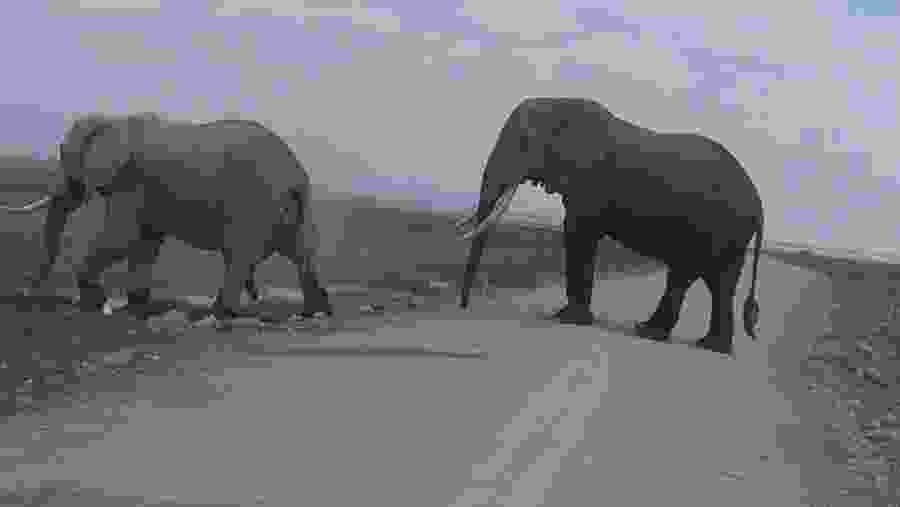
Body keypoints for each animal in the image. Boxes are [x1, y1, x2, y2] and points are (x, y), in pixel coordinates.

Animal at [2, 112, 333, 320]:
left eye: (62, 153)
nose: (26, 293)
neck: (113, 119)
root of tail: (294, 172)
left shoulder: (130, 183)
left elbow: (121, 238)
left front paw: (95, 303)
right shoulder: (147, 193)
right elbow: (146, 243)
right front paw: (136, 307)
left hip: (254, 203)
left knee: (240, 255)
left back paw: (220, 314)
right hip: (293, 208)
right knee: (302, 252)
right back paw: (315, 313)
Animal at [455, 97, 763, 356]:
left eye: (524, 141)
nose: (464, 306)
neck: (558, 103)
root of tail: (759, 202)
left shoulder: (589, 183)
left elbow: (578, 234)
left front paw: (568, 318)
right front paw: (571, 316)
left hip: (715, 227)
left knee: (689, 273)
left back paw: (653, 333)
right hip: (730, 234)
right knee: (717, 282)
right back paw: (706, 345)